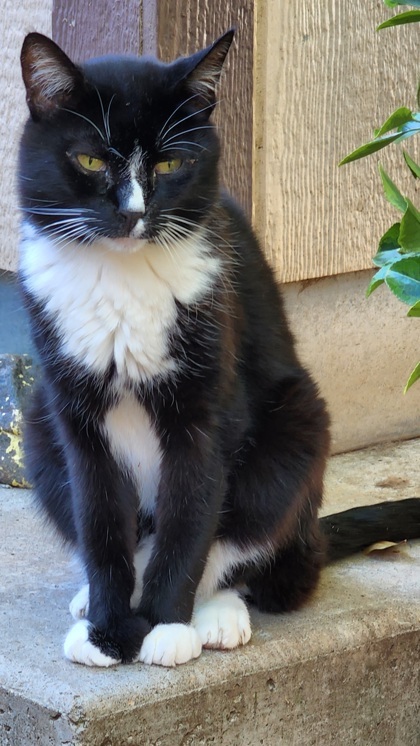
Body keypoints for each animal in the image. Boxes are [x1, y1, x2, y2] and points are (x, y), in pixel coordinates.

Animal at [18, 32, 420, 664]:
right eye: (89, 160)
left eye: (169, 162)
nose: (133, 213)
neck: (123, 281)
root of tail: (313, 538)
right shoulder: (74, 412)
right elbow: (99, 517)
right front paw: (109, 630)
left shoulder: (207, 403)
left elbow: (192, 516)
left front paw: (166, 625)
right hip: (37, 420)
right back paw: (94, 598)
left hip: (296, 427)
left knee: (242, 543)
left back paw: (214, 614)